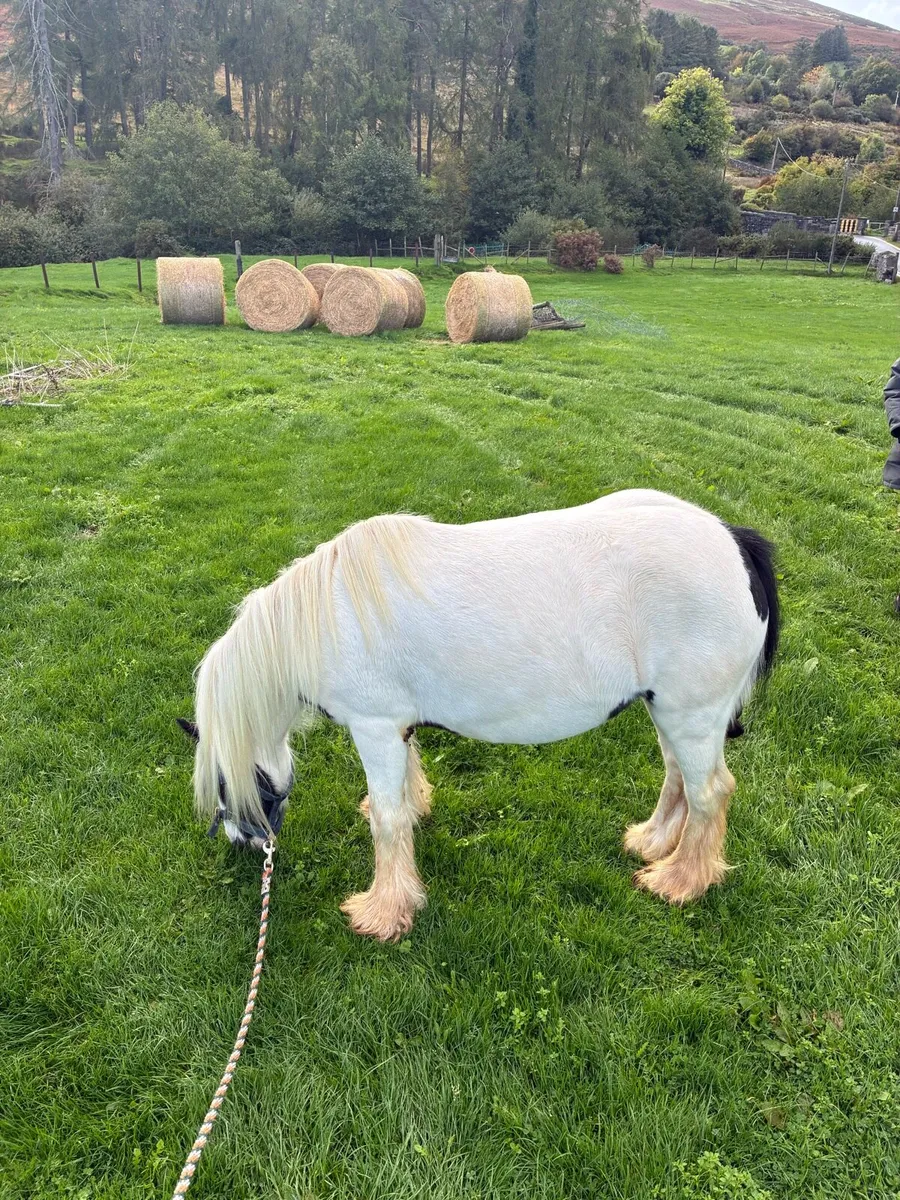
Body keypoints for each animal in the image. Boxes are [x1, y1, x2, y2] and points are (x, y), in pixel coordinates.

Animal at [178, 488, 779, 942]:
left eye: (225, 783)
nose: (242, 842)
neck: (327, 617)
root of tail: (733, 540)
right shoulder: (399, 728)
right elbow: (403, 790)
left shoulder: (374, 727)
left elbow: (386, 822)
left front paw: (383, 912)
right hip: (669, 712)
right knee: (679, 777)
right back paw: (652, 843)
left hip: (691, 714)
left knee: (710, 792)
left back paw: (679, 881)